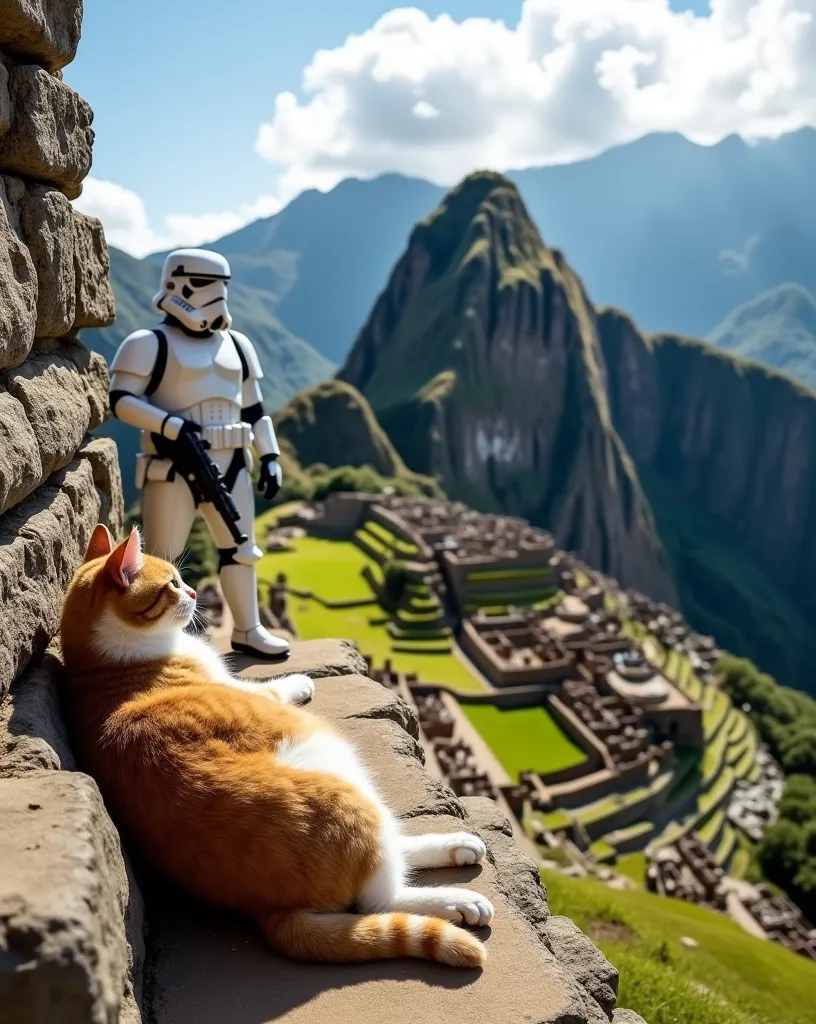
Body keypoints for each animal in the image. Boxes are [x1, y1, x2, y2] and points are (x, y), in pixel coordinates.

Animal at [60, 528, 493, 966]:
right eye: (172, 584)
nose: (195, 592)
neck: (104, 663)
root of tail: (270, 911)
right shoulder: (240, 689)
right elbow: (270, 686)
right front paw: (300, 681)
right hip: (335, 764)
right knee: (381, 898)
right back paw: (459, 901)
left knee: (395, 851)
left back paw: (459, 847)